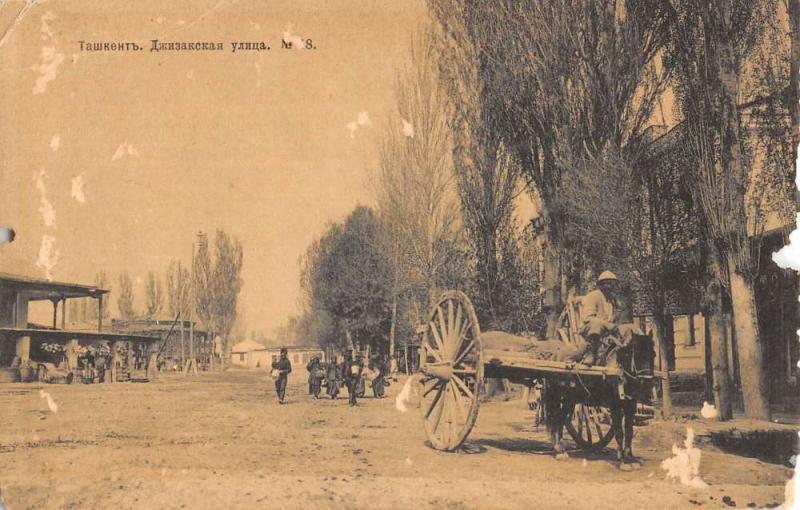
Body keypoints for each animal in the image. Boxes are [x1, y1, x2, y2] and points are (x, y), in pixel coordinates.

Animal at [540, 328, 652, 468]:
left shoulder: (630, 405)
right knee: (554, 419)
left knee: (560, 419)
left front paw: (630, 457)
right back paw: (558, 449)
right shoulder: (615, 405)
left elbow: (629, 431)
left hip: (569, 399)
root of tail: (554, 356)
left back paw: (561, 449)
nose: (647, 383)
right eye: (636, 353)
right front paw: (622, 462)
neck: (618, 370)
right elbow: (619, 433)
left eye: (653, 354)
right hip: (555, 395)